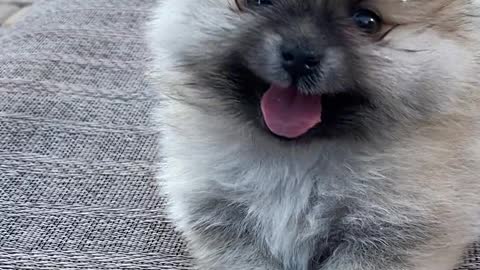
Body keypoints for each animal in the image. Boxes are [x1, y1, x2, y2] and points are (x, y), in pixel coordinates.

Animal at [146, 1, 480, 268]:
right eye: (257, 1)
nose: (298, 55)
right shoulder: (225, 219)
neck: (295, 158)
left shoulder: (391, 230)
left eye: (366, 21)